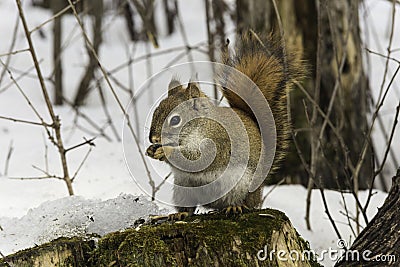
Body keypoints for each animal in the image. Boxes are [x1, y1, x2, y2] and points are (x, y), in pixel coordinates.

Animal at [147, 31, 304, 220]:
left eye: (175, 120)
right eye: (156, 111)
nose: (153, 138)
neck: (202, 125)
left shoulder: (217, 142)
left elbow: (198, 159)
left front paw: (165, 151)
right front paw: (151, 150)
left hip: (241, 187)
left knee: (245, 204)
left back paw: (235, 207)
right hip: (183, 189)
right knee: (188, 207)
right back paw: (180, 214)